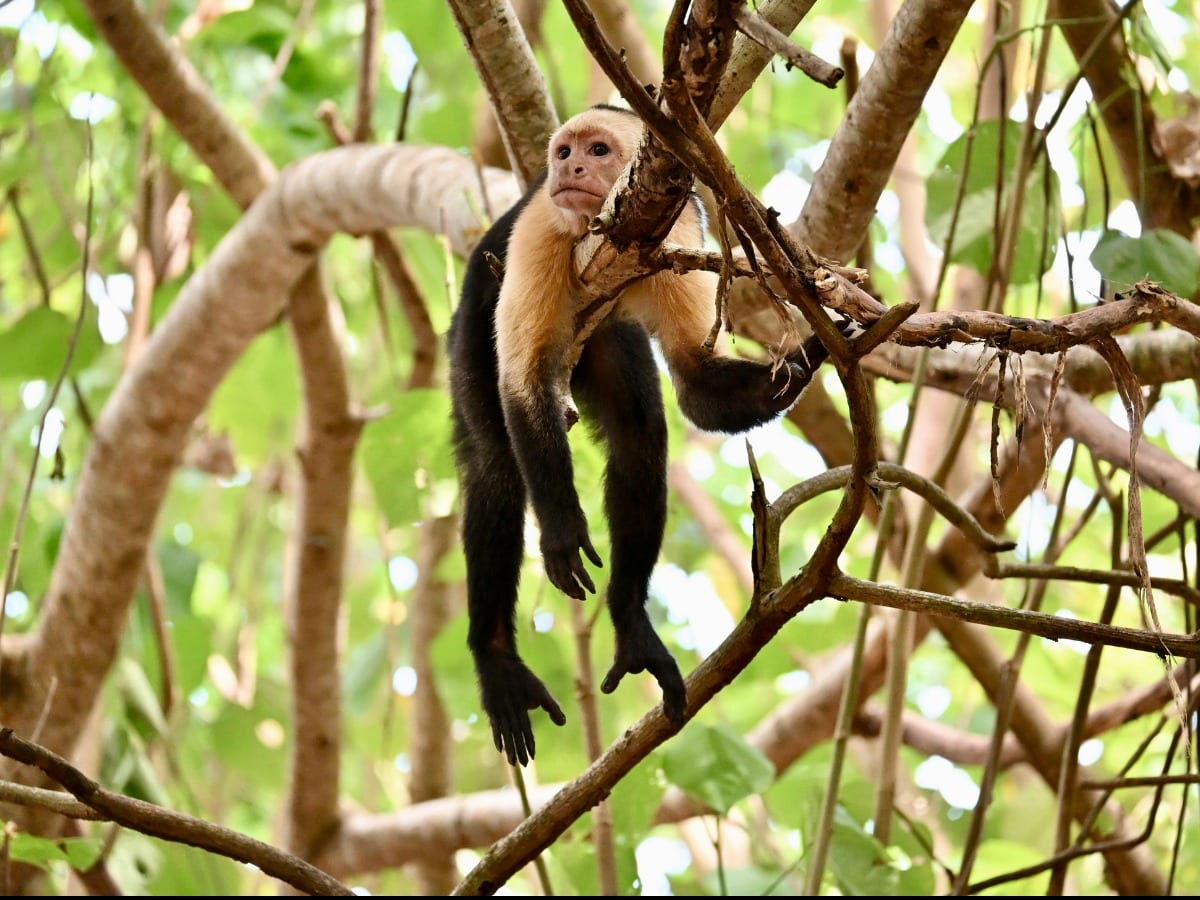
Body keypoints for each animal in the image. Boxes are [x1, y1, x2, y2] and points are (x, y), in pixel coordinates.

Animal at [448, 104, 845, 766]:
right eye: (563, 153)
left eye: (597, 151)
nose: (570, 169)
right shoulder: (541, 227)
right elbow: (523, 384)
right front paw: (562, 530)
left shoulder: (680, 232)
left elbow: (697, 387)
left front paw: (824, 347)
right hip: (468, 333)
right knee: (496, 464)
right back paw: (496, 657)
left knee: (640, 434)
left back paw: (631, 625)